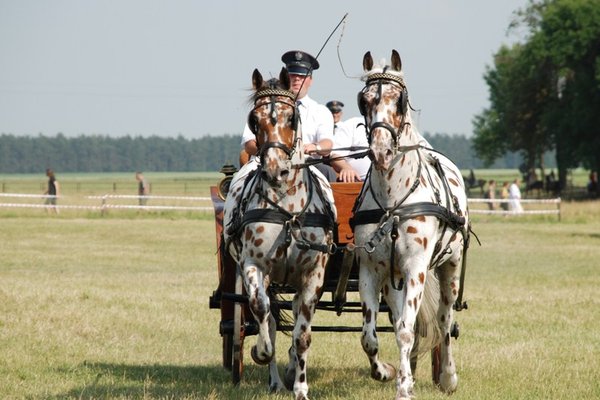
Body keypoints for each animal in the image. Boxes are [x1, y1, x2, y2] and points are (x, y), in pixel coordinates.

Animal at [224, 67, 338, 398]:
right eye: (255, 119)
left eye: (292, 117)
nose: (276, 170)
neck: (287, 206)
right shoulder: (253, 265)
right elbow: (262, 312)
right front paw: (261, 353)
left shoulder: (314, 274)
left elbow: (303, 335)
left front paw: (300, 385)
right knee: (271, 319)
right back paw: (275, 379)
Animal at [350, 50, 472, 400]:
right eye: (364, 100)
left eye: (400, 100)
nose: (380, 150)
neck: (394, 202)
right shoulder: (371, 269)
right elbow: (369, 335)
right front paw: (386, 372)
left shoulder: (416, 266)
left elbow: (405, 329)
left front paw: (404, 387)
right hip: (395, 280)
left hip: (449, 268)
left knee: (444, 320)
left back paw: (447, 376)